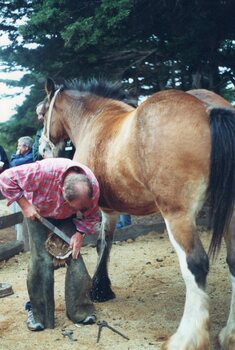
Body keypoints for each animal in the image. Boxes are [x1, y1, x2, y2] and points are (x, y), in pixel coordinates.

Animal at [38, 77, 235, 350]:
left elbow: (102, 244)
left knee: (195, 264)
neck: (94, 120)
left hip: (177, 215)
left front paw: (100, 289)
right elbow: (105, 244)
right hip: (230, 212)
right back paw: (229, 334)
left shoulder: (102, 209)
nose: (42, 150)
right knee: (233, 261)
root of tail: (207, 108)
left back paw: (186, 338)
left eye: (41, 113)